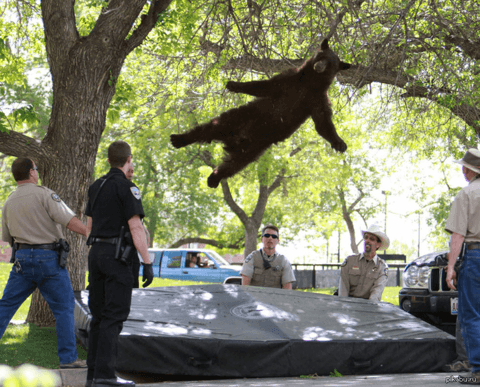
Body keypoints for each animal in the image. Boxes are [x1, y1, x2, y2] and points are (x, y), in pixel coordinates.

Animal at [171, 38, 350, 189]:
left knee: (233, 165)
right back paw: (179, 139)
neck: (310, 82)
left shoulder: (317, 98)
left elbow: (323, 122)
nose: (319, 66)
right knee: (209, 128)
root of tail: (234, 140)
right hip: (240, 118)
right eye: (322, 56)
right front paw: (233, 84)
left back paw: (213, 179)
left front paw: (340, 143)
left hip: (254, 148)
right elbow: (264, 86)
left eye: (330, 63)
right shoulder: (290, 79)